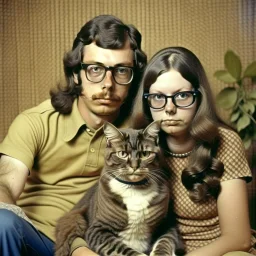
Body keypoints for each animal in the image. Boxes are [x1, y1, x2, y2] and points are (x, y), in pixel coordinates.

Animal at [55, 121, 185, 256]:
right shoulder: (97, 230)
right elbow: (121, 249)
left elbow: (165, 241)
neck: (135, 188)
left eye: (145, 154)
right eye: (122, 154)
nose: (134, 166)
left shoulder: (167, 223)